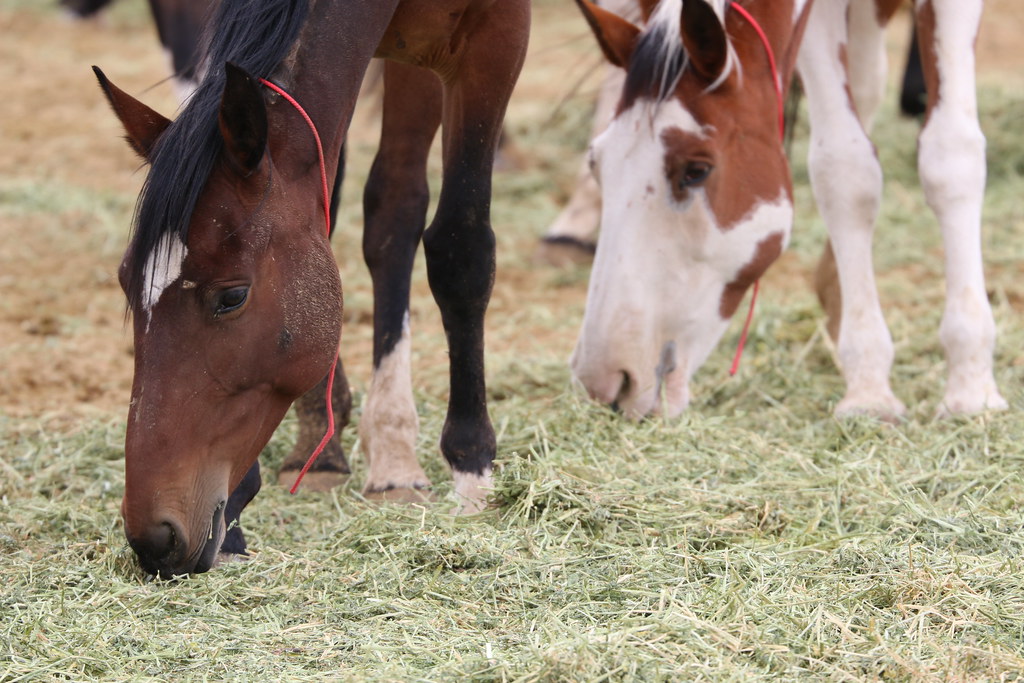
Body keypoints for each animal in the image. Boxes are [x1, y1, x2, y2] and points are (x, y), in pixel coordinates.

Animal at [94, 0, 530, 578]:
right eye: (127, 284)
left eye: (232, 297)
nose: (153, 537)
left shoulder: (496, 39)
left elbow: (461, 247)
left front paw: (472, 467)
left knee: (399, 201)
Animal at [569, 0, 1006, 420]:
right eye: (596, 164)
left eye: (696, 171)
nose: (606, 380)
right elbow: (845, 168)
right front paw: (868, 388)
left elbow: (950, 154)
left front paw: (971, 388)